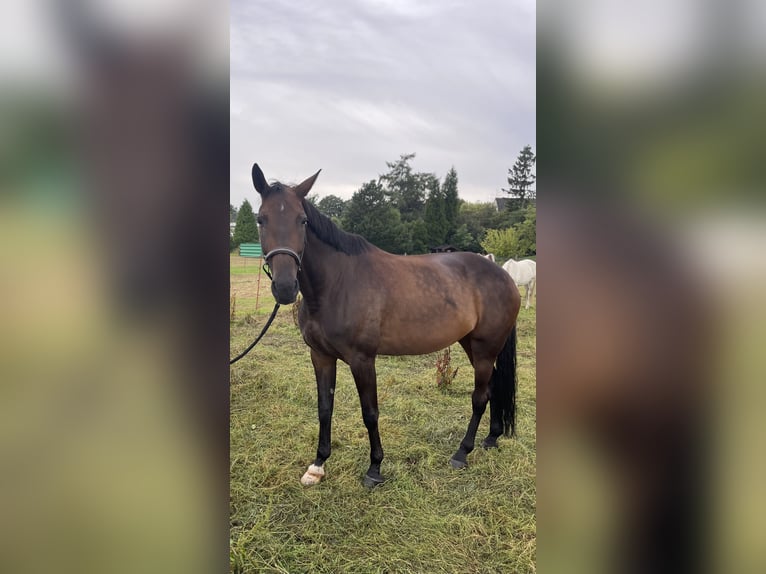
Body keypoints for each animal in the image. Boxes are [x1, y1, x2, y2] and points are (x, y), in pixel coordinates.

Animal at [252, 164, 520, 488]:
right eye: (261, 219)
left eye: (302, 220)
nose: (284, 287)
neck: (337, 285)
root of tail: (504, 275)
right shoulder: (321, 356)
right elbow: (324, 408)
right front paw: (318, 465)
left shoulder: (362, 360)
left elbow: (370, 413)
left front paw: (375, 468)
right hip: (471, 344)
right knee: (493, 387)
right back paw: (491, 438)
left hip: (484, 348)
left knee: (480, 397)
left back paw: (461, 453)